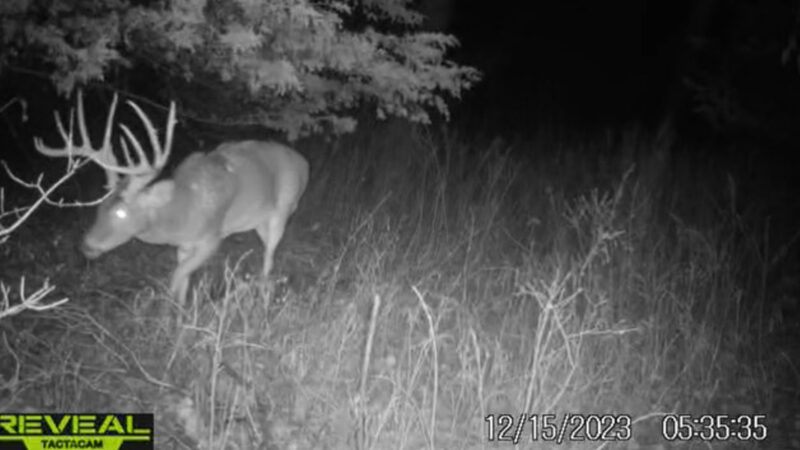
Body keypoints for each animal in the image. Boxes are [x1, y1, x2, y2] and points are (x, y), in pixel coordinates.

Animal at [34, 91, 310, 302]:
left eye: (121, 212)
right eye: (99, 207)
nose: (87, 246)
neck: (181, 211)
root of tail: (303, 163)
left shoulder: (212, 238)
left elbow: (175, 277)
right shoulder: (183, 245)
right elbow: (182, 282)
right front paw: (178, 315)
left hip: (282, 210)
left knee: (269, 256)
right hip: (259, 221)